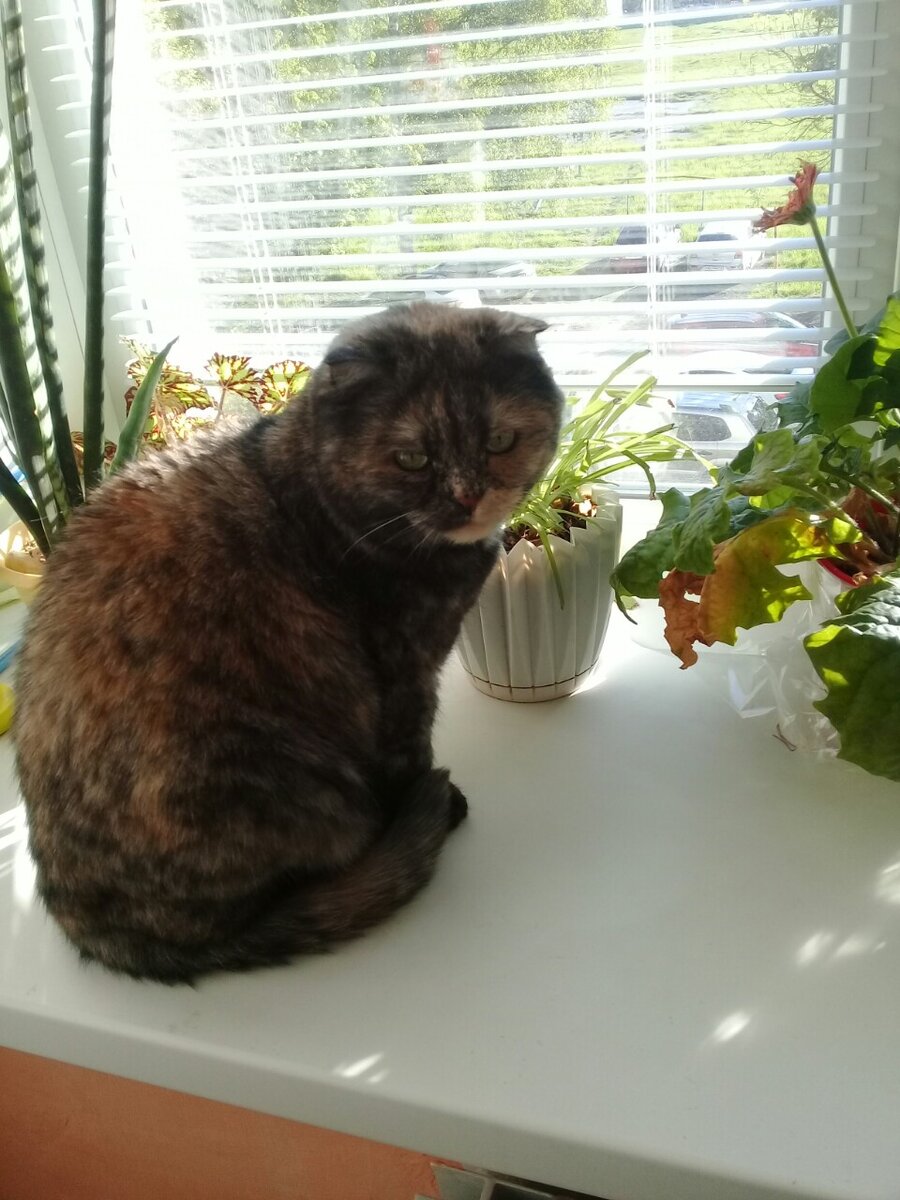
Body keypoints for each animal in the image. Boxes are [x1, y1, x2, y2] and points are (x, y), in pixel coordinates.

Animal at [15, 302, 563, 982]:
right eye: (411, 458)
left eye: (499, 442)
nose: (468, 497)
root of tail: (101, 932)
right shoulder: (403, 673)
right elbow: (410, 751)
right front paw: (437, 801)